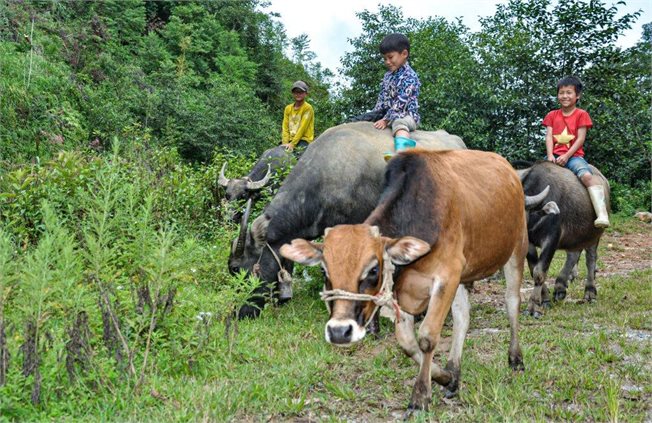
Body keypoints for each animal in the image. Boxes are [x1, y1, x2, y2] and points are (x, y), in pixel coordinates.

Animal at [280, 149, 528, 410]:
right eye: (324, 271)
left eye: (373, 270)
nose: (339, 332)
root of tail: (506, 166)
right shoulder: (408, 289)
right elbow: (407, 343)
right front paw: (444, 377)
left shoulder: (446, 276)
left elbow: (427, 337)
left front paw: (420, 396)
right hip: (464, 274)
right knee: (463, 317)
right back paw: (454, 371)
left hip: (517, 248)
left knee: (512, 302)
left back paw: (515, 359)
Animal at [516, 161, 608, 316]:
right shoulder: (528, 243)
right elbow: (533, 269)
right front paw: (545, 300)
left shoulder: (552, 239)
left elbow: (539, 272)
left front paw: (533, 307)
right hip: (576, 236)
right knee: (573, 255)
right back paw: (560, 287)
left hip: (594, 234)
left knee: (590, 259)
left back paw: (589, 292)